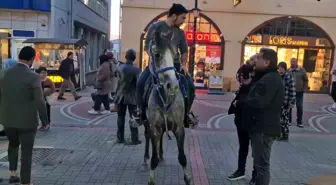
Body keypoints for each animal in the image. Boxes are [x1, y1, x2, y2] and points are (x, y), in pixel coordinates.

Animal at [140, 27, 192, 185]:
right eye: (156, 54)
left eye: (175, 54)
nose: (173, 85)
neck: (165, 96)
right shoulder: (155, 128)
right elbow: (154, 159)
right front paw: (151, 177)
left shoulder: (179, 128)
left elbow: (182, 158)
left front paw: (187, 178)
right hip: (148, 123)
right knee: (147, 137)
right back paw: (145, 159)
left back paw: (162, 155)